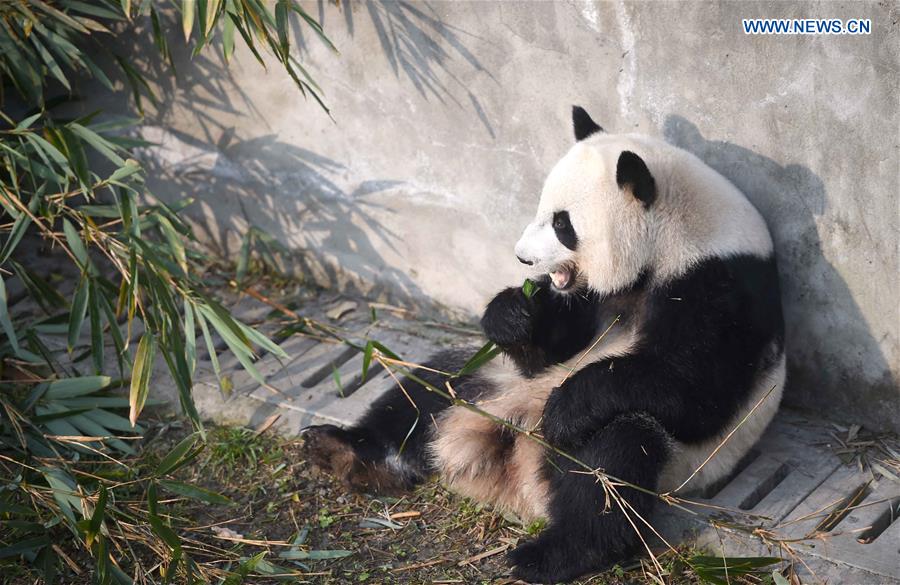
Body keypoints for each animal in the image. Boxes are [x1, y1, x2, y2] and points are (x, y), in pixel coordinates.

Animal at [304, 107, 788, 580]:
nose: (523, 258)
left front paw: (566, 408)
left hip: (674, 464)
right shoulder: (591, 298)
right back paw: (342, 450)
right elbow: (551, 344)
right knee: (427, 388)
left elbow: (696, 391)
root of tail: (512, 471)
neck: (680, 234)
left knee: (613, 459)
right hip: (489, 379)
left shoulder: (723, 286)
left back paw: (552, 553)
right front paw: (513, 312)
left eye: (562, 224)